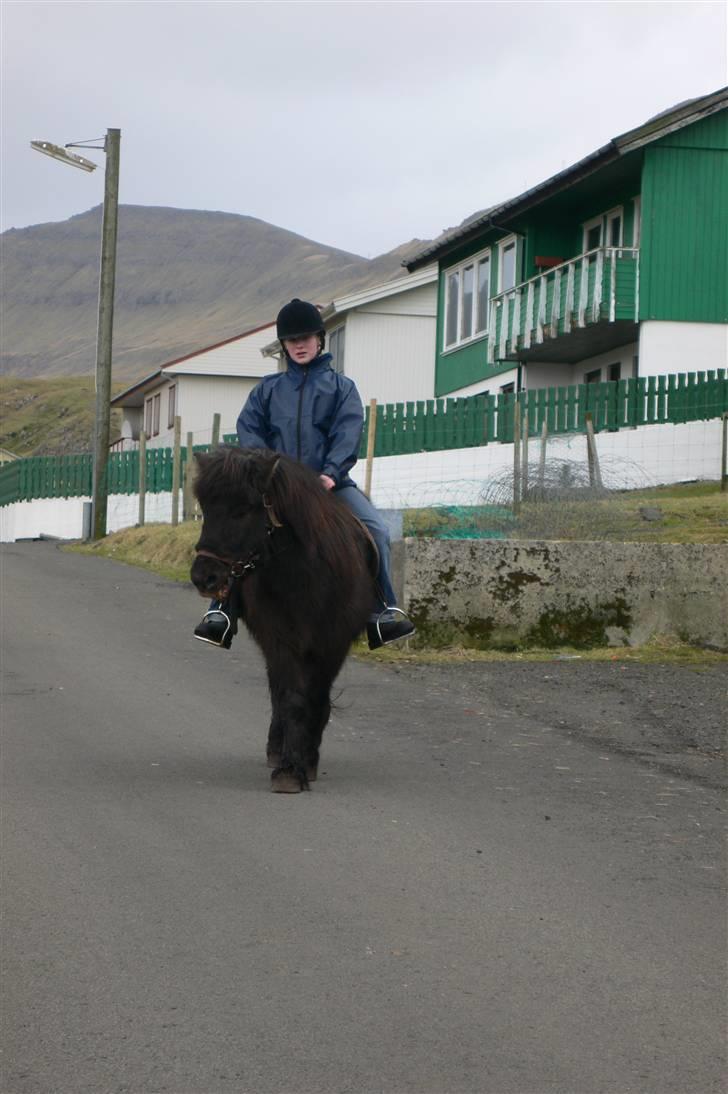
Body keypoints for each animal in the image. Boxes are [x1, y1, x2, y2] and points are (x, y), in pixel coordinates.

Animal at [188, 444, 374, 796]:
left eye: (243, 510)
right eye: (205, 509)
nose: (204, 577)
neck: (302, 575)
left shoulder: (332, 642)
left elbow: (316, 697)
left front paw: (306, 761)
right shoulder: (279, 639)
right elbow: (291, 699)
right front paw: (289, 769)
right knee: (278, 692)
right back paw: (278, 748)